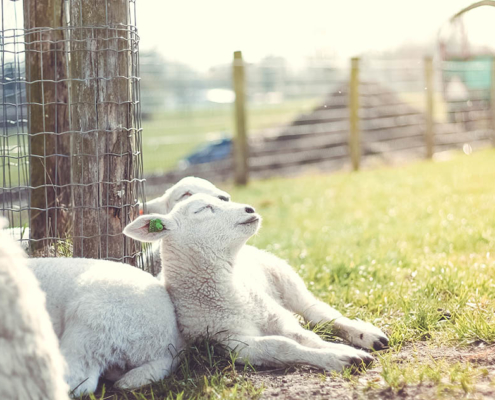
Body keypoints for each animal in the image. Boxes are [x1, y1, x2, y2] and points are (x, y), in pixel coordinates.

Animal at [123, 195, 384, 374]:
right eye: (202, 209)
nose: (250, 209)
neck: (231, 295)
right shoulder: (230, 342)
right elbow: (281, 346)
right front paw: (342, 358)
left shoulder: (275, 316)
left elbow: (306, 337)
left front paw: (344, 351)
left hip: (284, 275)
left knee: (318, 313)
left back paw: (367, 335)